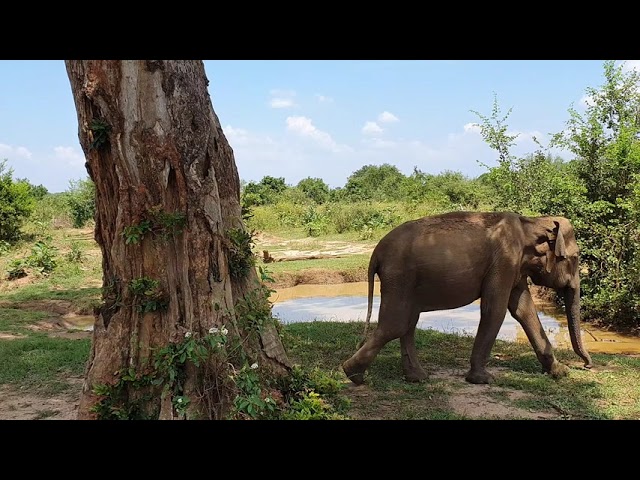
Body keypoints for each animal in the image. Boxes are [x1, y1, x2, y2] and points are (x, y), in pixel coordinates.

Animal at [342, 212, 592, 384]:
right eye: (575, 258)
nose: (586, 365)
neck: (529, 223)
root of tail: (375, 253)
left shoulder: (515, 268)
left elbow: (524, 310)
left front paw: (560, 372)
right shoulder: (504, 262)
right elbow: (496, 310)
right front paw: (483, 379)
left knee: (407, 323)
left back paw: (418, 378)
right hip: (399, 277)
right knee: (397, 324)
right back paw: (353, 374)